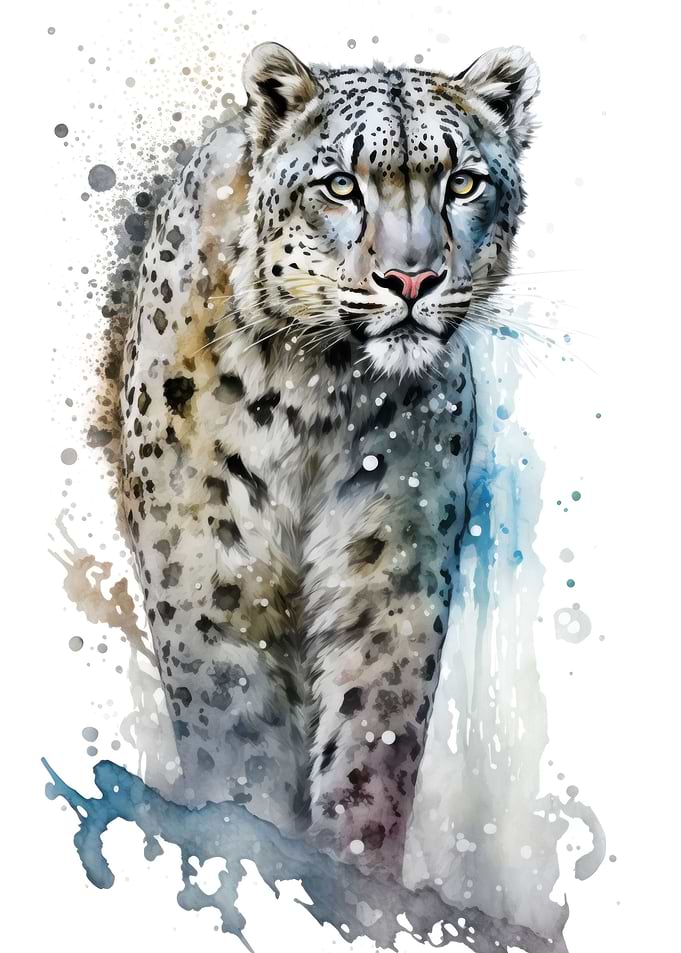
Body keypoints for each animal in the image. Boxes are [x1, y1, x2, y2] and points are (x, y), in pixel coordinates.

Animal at [118, 41, 539, 883]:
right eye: (341, 185)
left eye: (463, 181)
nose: (411, 279)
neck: (319, 395)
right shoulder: (208, 564)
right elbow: (235, 734)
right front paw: (251, 844)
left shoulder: (392, 563)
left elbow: (374, 740)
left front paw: (355, 875)